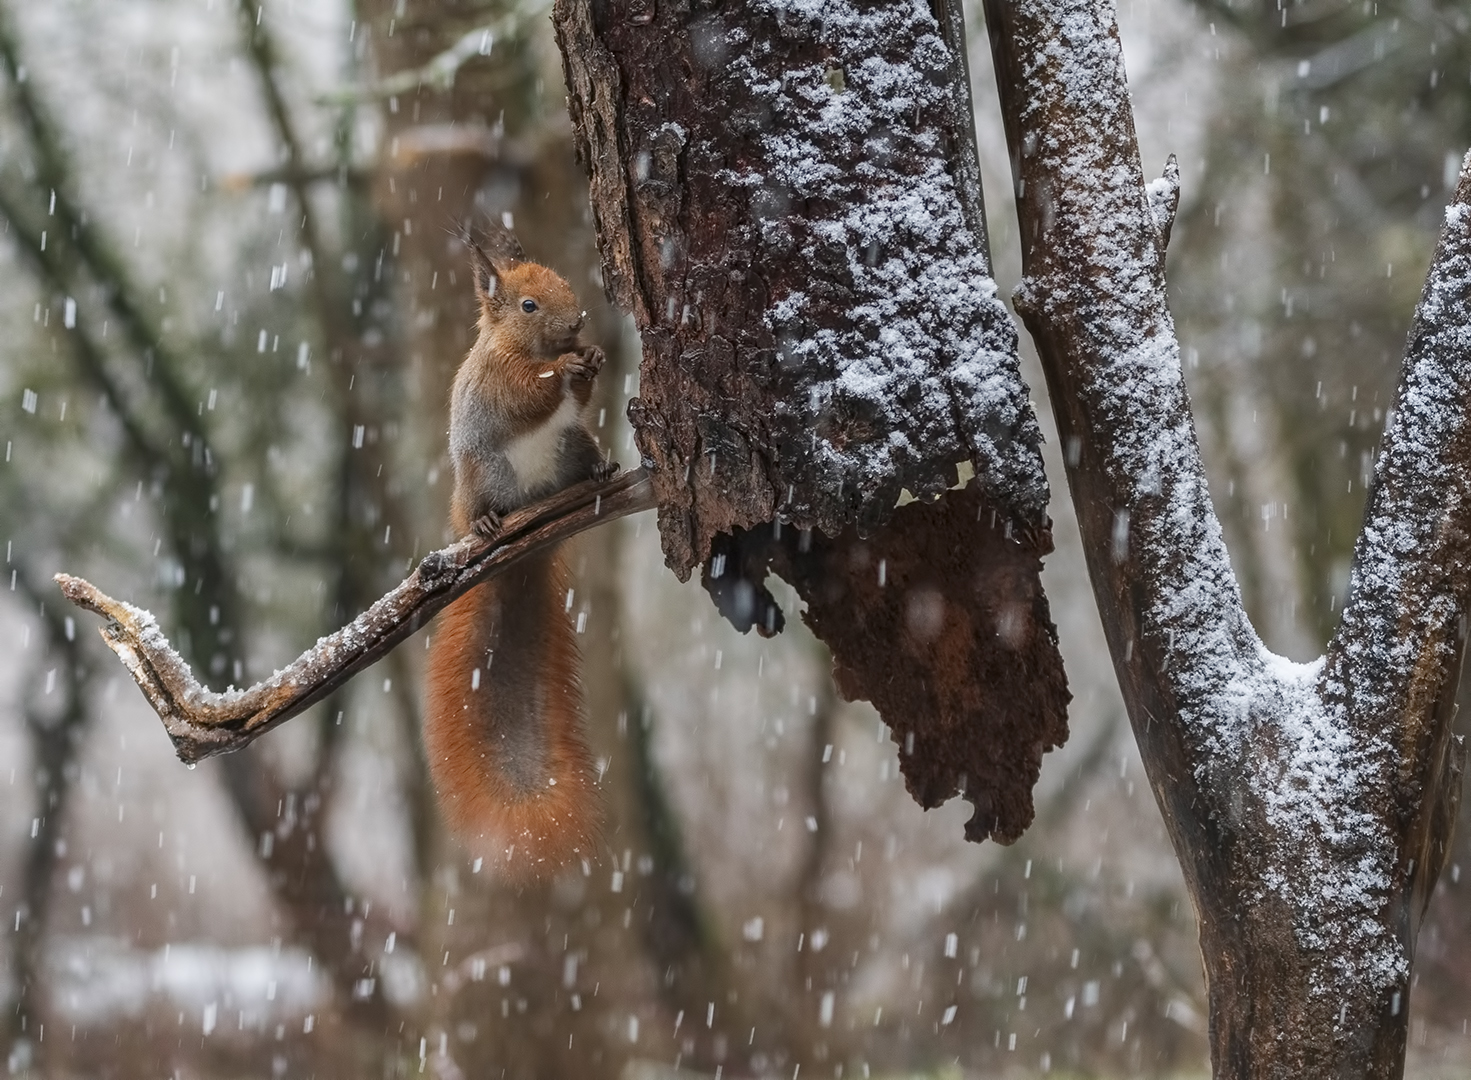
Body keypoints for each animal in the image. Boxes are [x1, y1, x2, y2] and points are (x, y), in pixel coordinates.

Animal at [422, 223, 616, 878]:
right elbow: (527, 396)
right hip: (482, 474)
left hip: (573, 446)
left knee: (581, 449)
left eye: (561, 281)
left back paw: (600, 473)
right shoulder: (498, 381)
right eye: (528, 305)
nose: (578, 320)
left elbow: (581, 398)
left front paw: (592, 360)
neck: (526, 347)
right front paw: (566, 365)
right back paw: (485, 522)